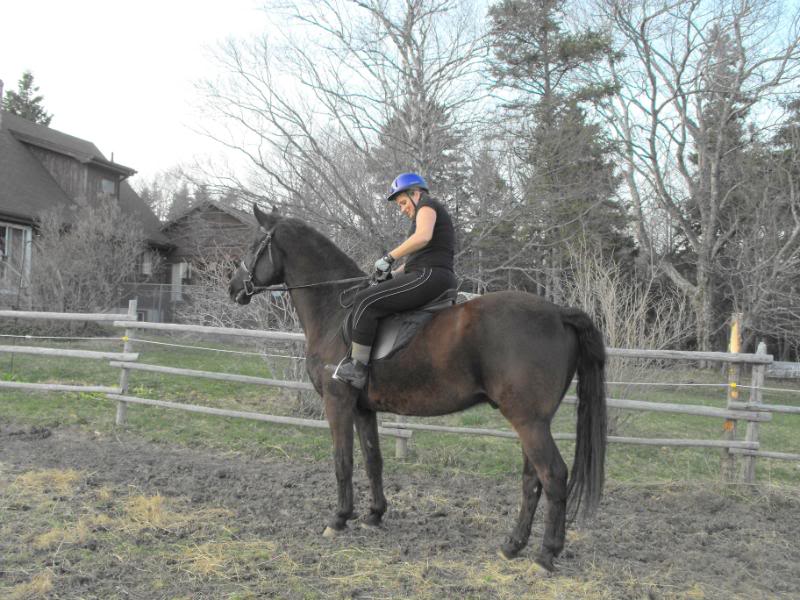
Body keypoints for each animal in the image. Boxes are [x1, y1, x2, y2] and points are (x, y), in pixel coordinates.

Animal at [227, 204, 608, 568]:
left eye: (253, 245)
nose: (233, 288)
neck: (336, 311)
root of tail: (558, 312)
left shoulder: (338, 402)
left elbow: (342, 461)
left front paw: (339, 519)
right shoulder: (363, 408)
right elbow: (373, 459)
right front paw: (374, 515)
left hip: (528, 421)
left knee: (553, 476)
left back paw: (546, 555)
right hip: (532, 421)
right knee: (532, 479)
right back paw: (512, 546)